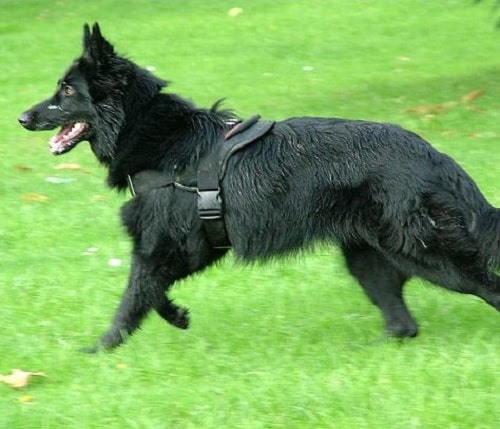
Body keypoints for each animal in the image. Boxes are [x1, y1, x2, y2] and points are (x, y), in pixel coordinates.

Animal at [18, 24, 500, 352]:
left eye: (66, 91)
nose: (22, 117)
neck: (160, 138)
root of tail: (433, 155)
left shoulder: (164, 247)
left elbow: (134, 299)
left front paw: (99, 351)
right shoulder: (189, 248)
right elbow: (152, 294)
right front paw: (176, 316)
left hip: (426, 252)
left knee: (486, 286)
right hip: (368, 258)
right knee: (403, 324)